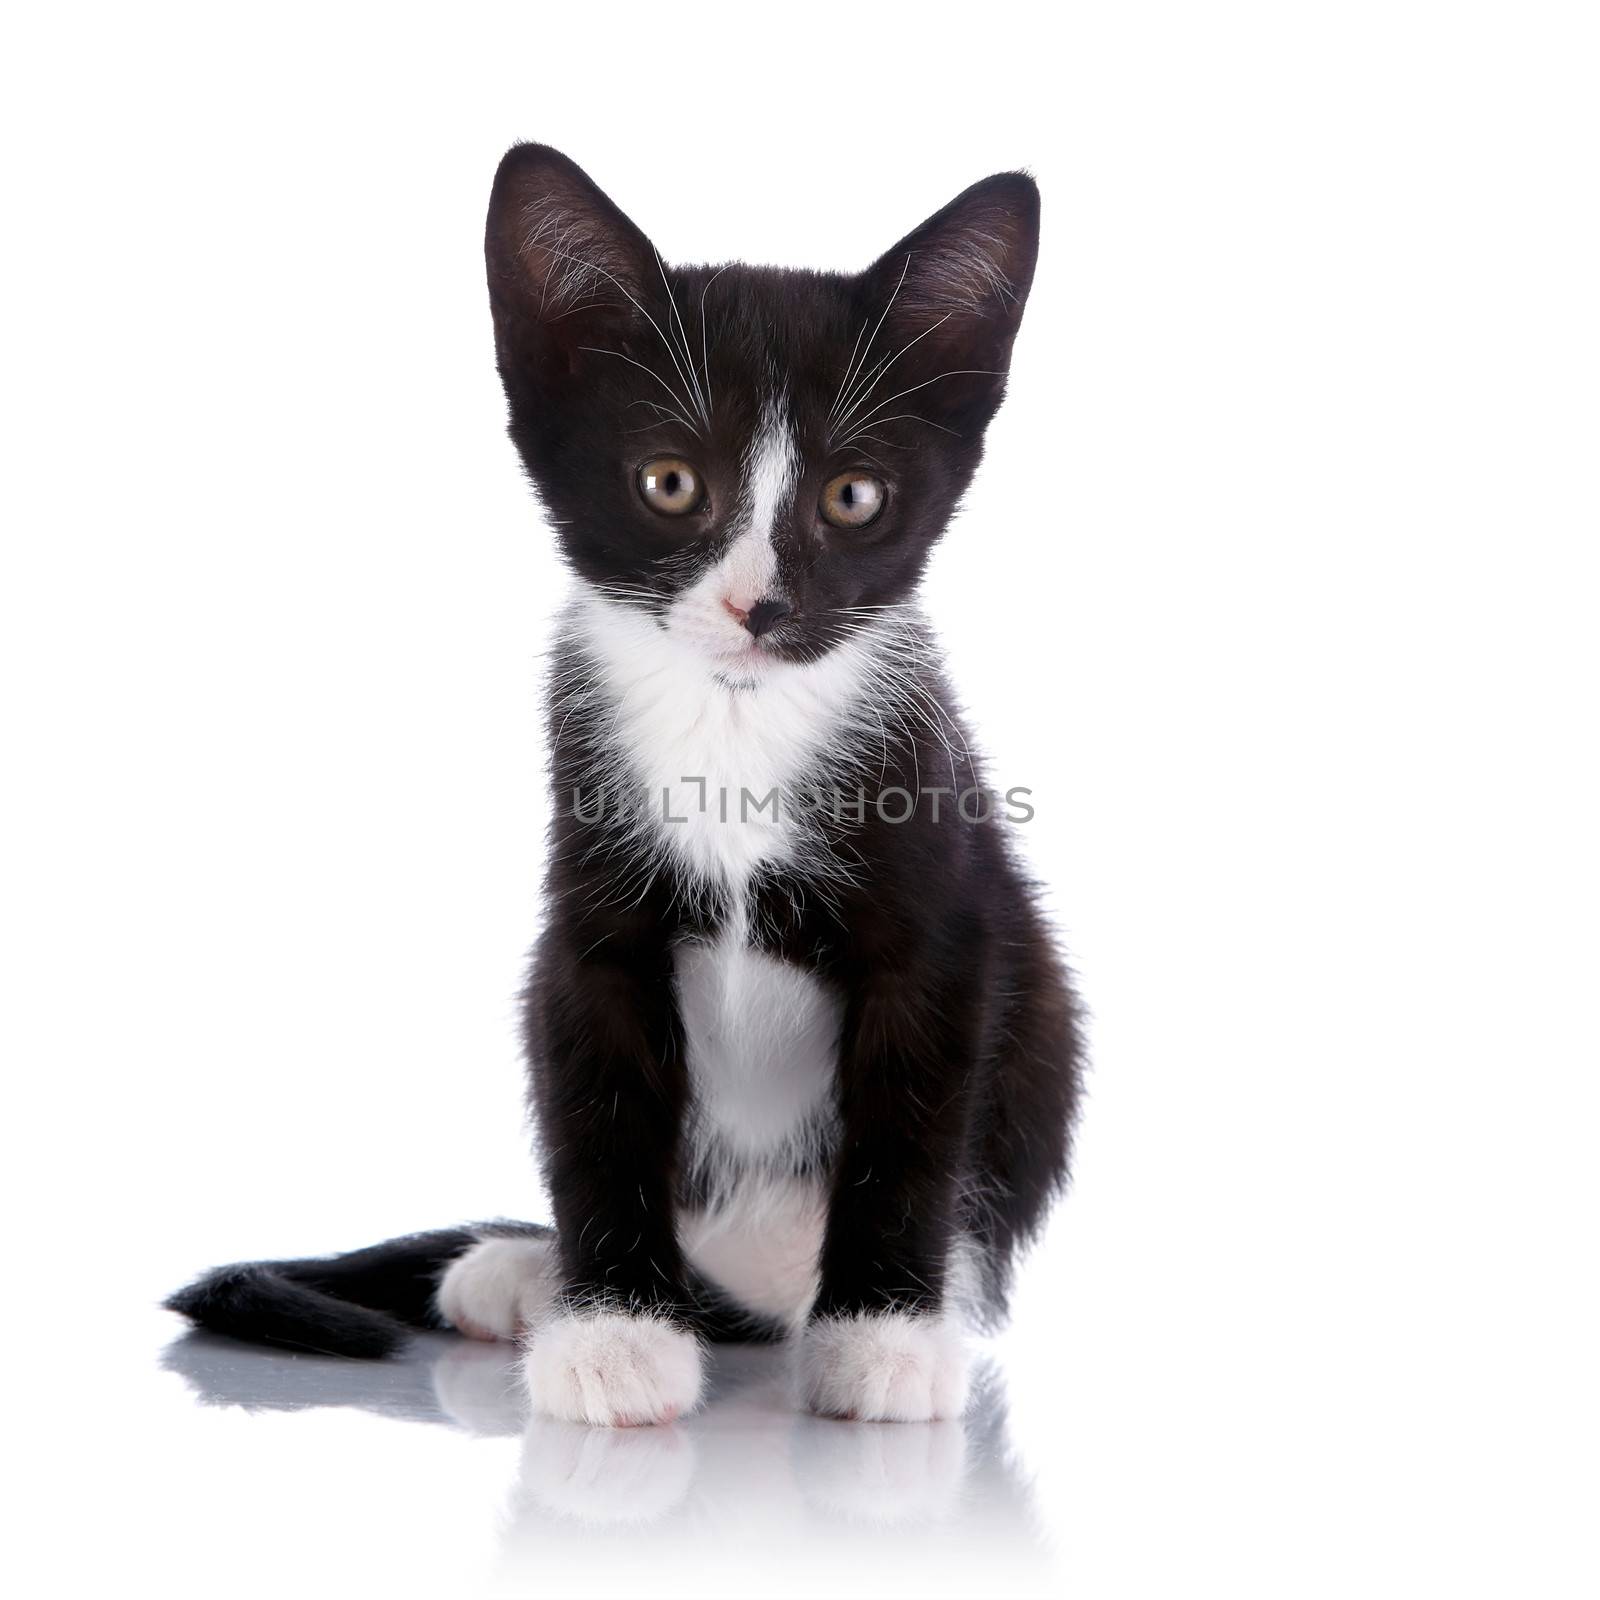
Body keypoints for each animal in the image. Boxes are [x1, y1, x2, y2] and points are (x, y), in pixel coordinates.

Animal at [165, 144, 1088, 1433]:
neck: (735, 725)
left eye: (853, 496)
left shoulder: (942, 916)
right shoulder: (590, 923)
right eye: (668, 482)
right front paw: (612, 1331)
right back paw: (524, 1269)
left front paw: (885, 1335)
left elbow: (910, 1123)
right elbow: (595, 1110)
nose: (759, 606)